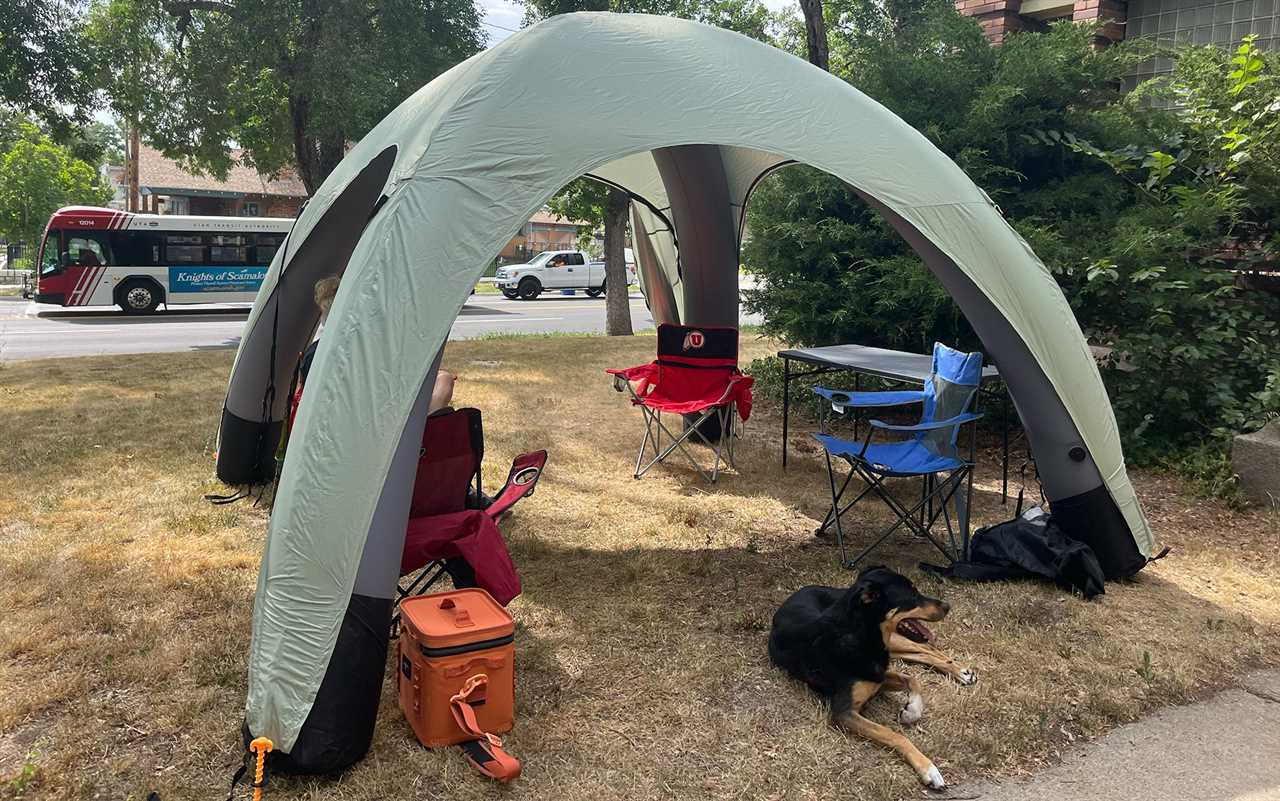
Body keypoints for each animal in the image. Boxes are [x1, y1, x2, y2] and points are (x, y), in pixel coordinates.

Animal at [768, 565, 977, 788]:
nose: (948, 606)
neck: (859, 635)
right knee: (922, 651)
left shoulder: (878, 675)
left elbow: (912, 680)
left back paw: (961, 671)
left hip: (896, 642)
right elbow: (894, 732)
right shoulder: (846, 711)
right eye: (912, 595)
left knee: (926, 648)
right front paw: (928, 768)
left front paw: (911, 711)